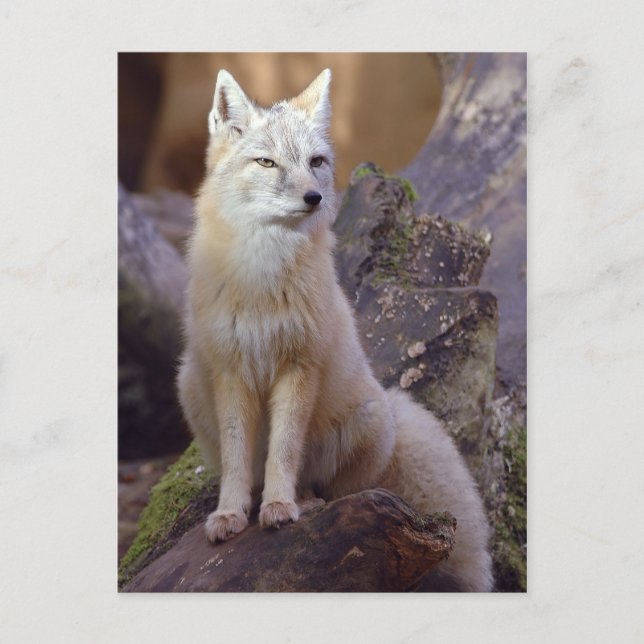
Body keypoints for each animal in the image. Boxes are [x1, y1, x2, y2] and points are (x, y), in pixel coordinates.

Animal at [177, 68, 494, 592]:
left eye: (316, 162)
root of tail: (391, 401)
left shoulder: (299, 365)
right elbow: (239, 459)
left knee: (330, 488)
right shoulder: (231, 370)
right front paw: (230, 513)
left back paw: (303, 500)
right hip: (188, 382)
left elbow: (284, 449)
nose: (314, 197)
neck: (262, 276)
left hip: (366, 420)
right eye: (266, 162)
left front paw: (280, 506)